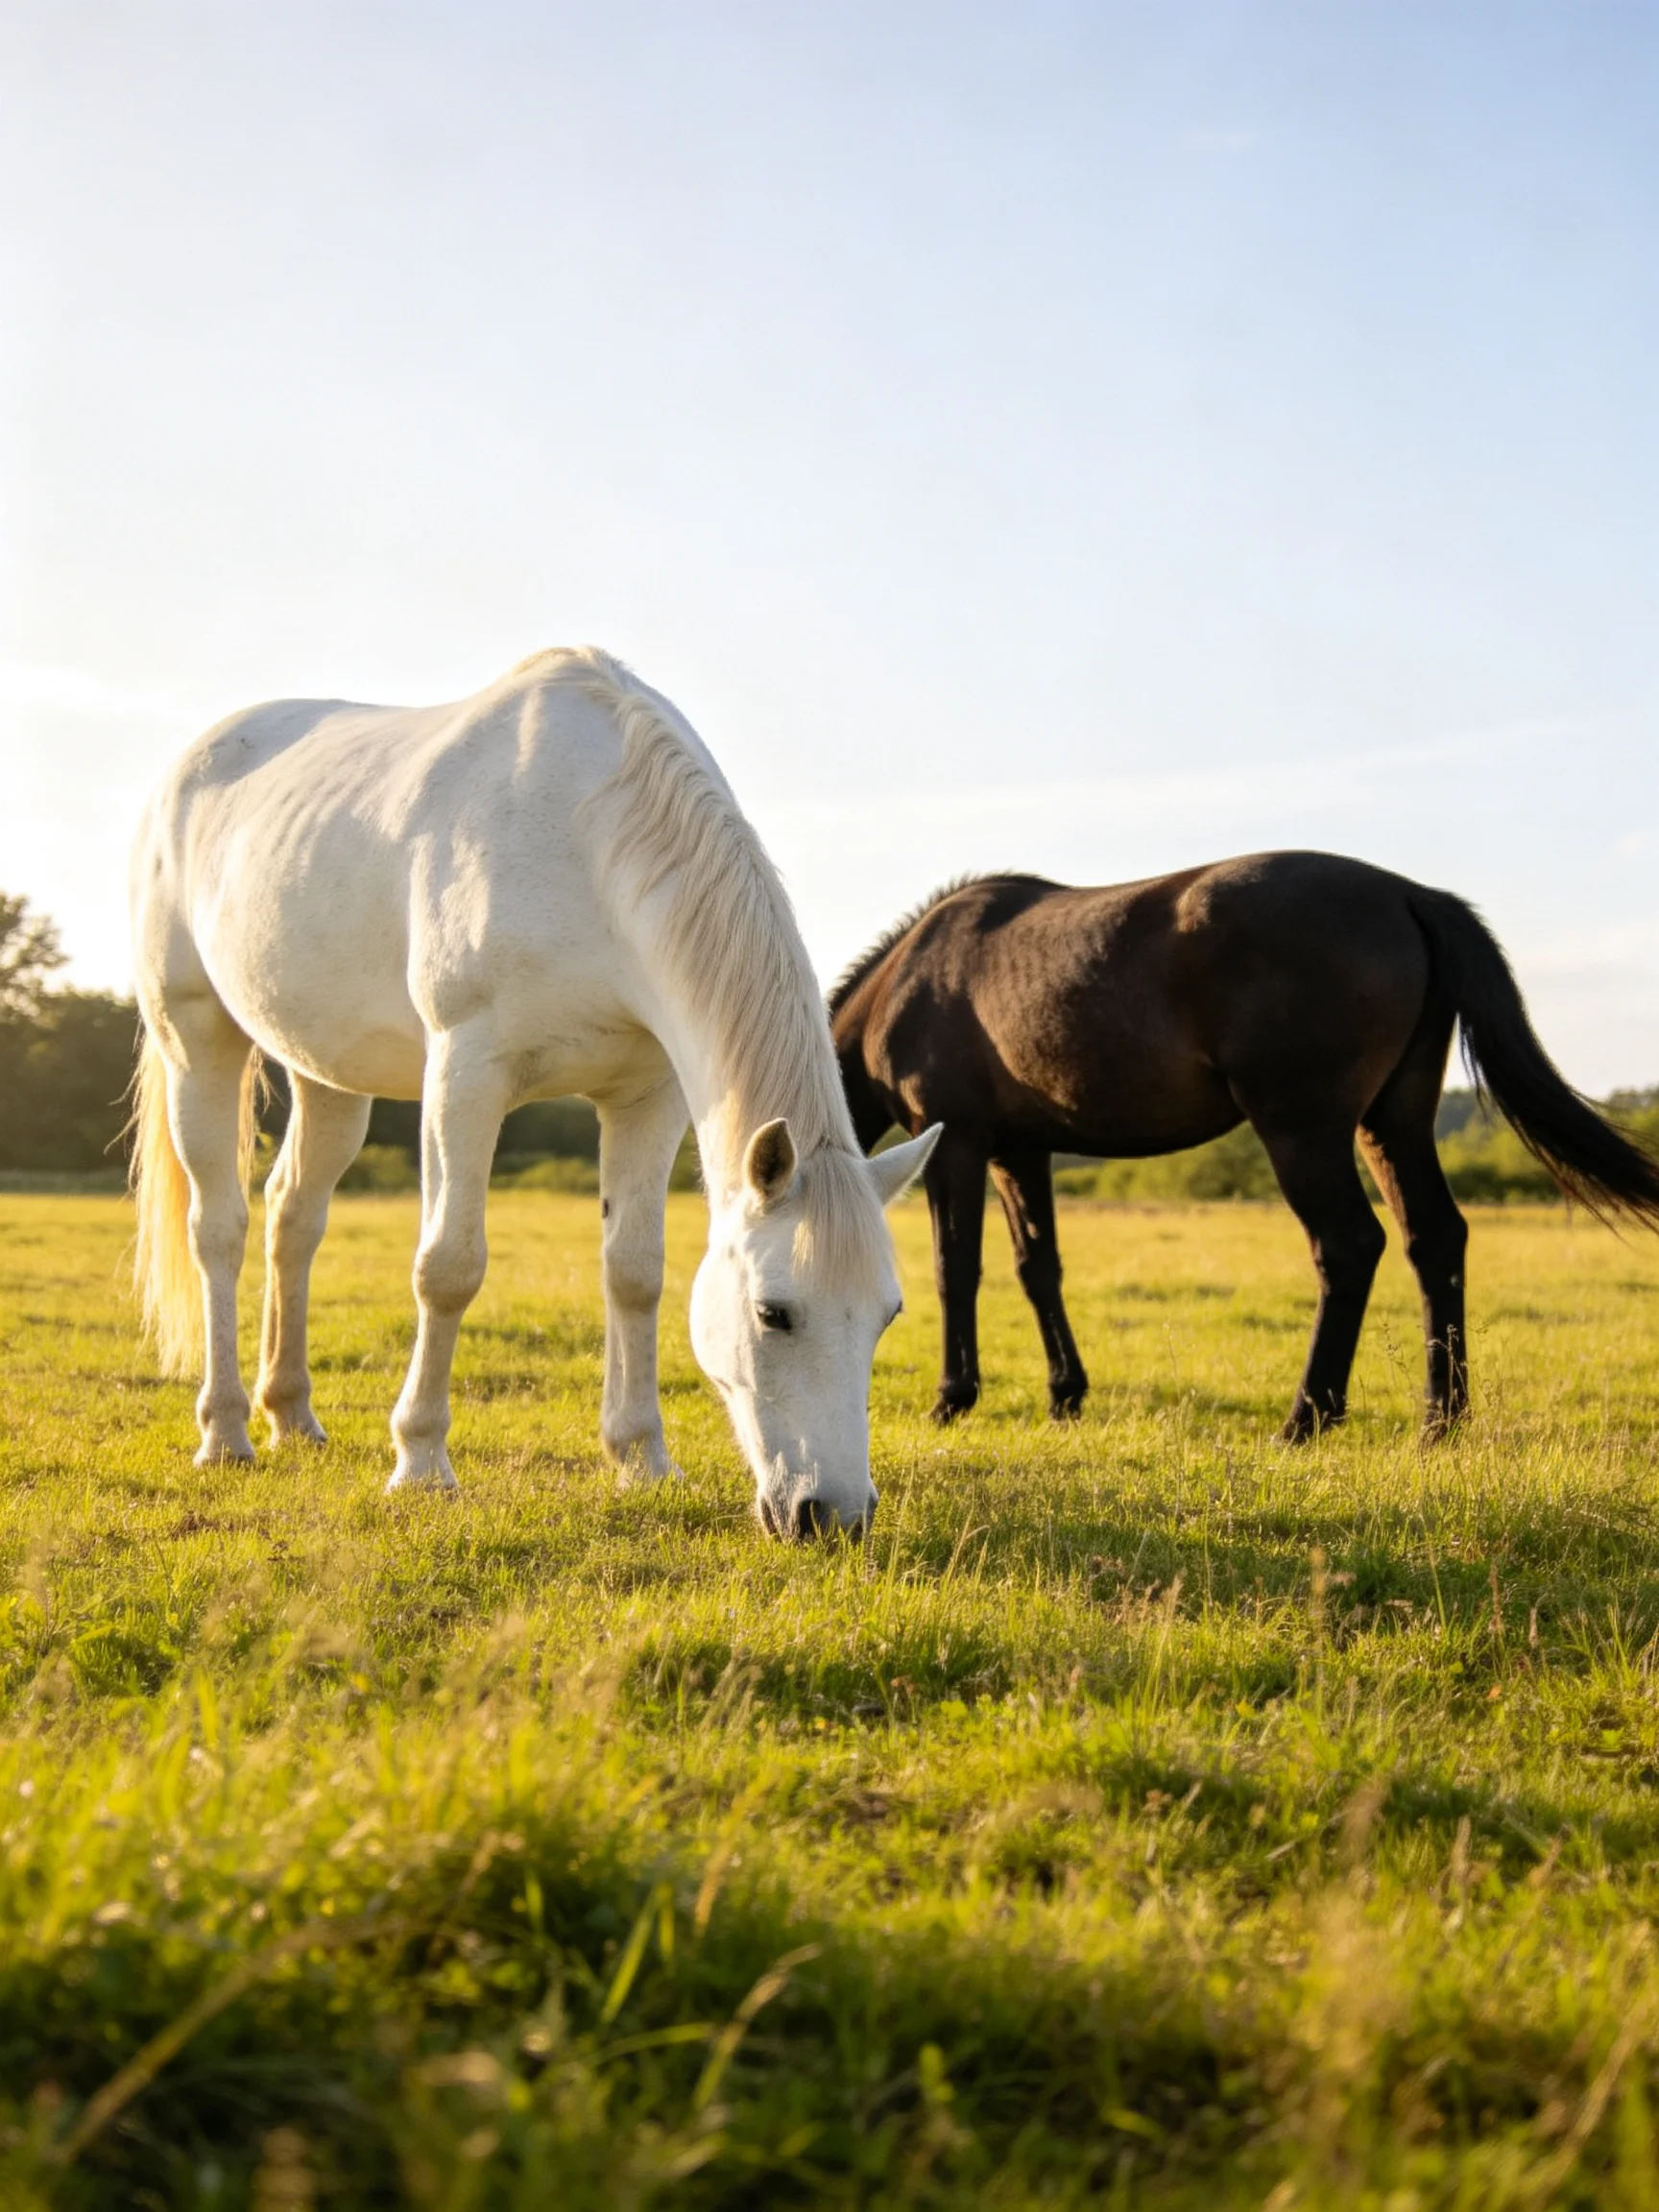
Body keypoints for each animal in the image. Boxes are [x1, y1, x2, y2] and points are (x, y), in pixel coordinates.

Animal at [129, 647, 939, 1536]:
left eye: (887, 1314)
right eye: (774, 1313)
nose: (835, 1515)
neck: (588, 845)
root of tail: (188, 768)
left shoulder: (645, 1097)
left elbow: (635, 1272)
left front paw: (641, 1458)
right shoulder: (465, 1074)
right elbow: (448, 1266)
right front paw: (420, 1461)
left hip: (326, 1073)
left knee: (292, 1217)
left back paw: (292, 1416)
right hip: (195, 1040)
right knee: (220, 1229)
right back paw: (226, 1431)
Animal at [829, 854, 1659, 1442]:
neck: (912, 977)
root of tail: (1410, 895)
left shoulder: (959, 1142)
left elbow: (955, 1269)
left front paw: (952, 1399)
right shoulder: (1020, 1153)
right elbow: (1040, 1269)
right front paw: (1065, 1395)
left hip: (1302, 1126)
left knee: (1349, 1245)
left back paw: (1306, 1418)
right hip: (1392, 1124)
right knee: (1434, 1239)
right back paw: (1439, 1422)